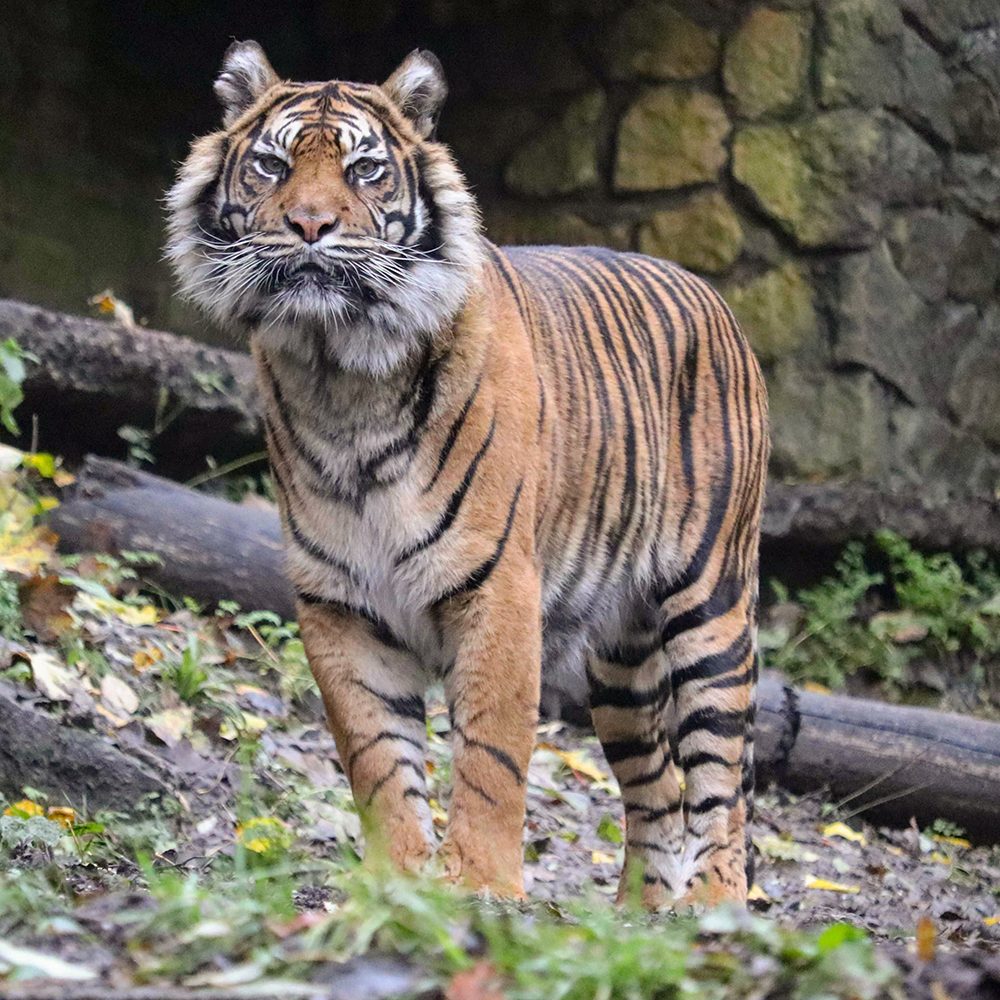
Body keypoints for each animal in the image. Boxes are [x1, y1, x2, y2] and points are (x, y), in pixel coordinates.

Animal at [168, 43, 768, 912]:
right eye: (272, 166)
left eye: (365, 170)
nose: (309, 225)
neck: (338, 372)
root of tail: (710, 294)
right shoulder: (340, 601)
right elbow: (377, 755)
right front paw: (398, 882)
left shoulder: (496, 587)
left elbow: (491, 752)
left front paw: (481, 885)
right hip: (620, 663)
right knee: (656, 784)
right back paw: (637, 918)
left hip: (711, 607)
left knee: (721, 778)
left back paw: (714, 907)